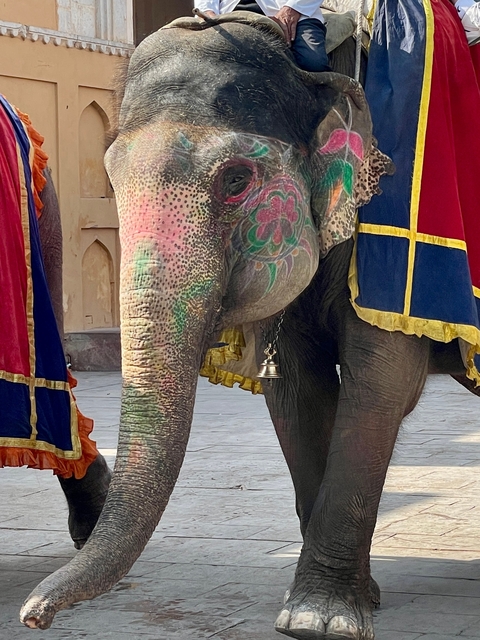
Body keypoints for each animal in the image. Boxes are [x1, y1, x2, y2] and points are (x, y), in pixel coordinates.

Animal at [17, 10, 480, 640]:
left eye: (235, 180)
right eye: (110, 182)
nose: (33, 616)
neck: (307, 59)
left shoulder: (399, 228)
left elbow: (380, 383)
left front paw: (317, 617)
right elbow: (295, 388)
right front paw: (344, 602)